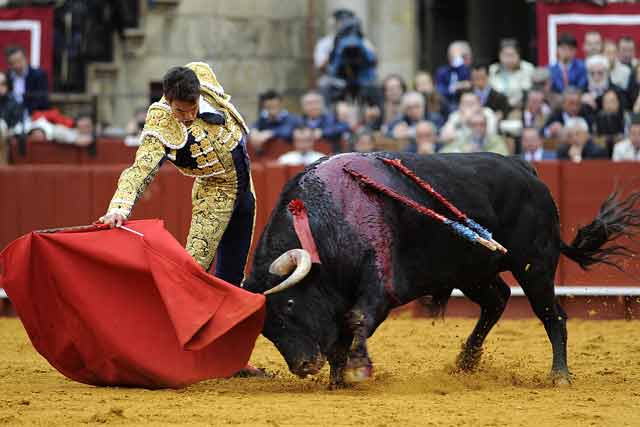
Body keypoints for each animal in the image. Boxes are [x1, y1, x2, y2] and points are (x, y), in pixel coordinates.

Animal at [242, 154, 636, 388]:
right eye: (265, 329)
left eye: (290, 305)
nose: (303, 366)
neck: (328, 220)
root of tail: (527, 170)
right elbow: (340, 331)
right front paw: (338, 378)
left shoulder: (380, 285)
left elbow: (356, 319)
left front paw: (355, 370)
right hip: (471, 271)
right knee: (497, 300)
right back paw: (465, 361)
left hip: (534, 267)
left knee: (552, 315)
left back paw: (558, 375)